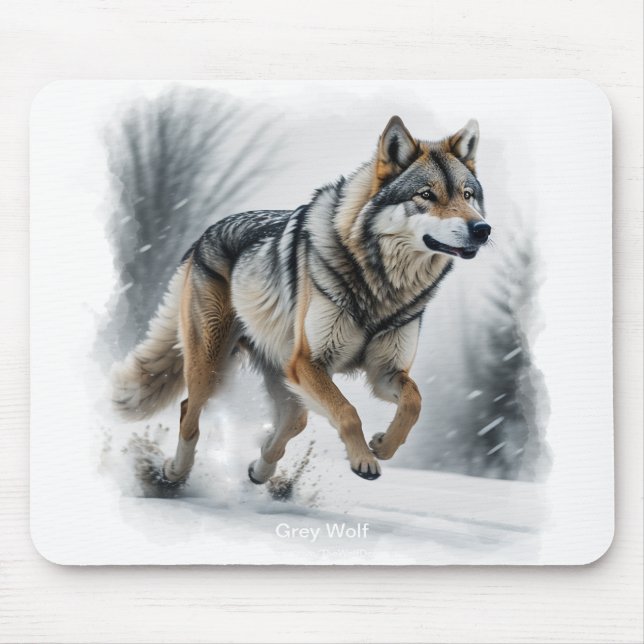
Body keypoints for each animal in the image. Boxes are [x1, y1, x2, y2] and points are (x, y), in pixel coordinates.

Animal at [112, 115, 491, 485]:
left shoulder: (385, 371)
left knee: (293, 421)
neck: (382, 286)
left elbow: (414, 402)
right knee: (188, 412)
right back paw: (174, 473)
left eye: (467, 194)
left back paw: (261, 470)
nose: (482, 229)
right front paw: (364, 461)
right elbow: (348, 412)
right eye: (426, 195)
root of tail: (203, 235)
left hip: (283, 374)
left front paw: (384, 445)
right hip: (213, 365)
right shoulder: (309, 362)